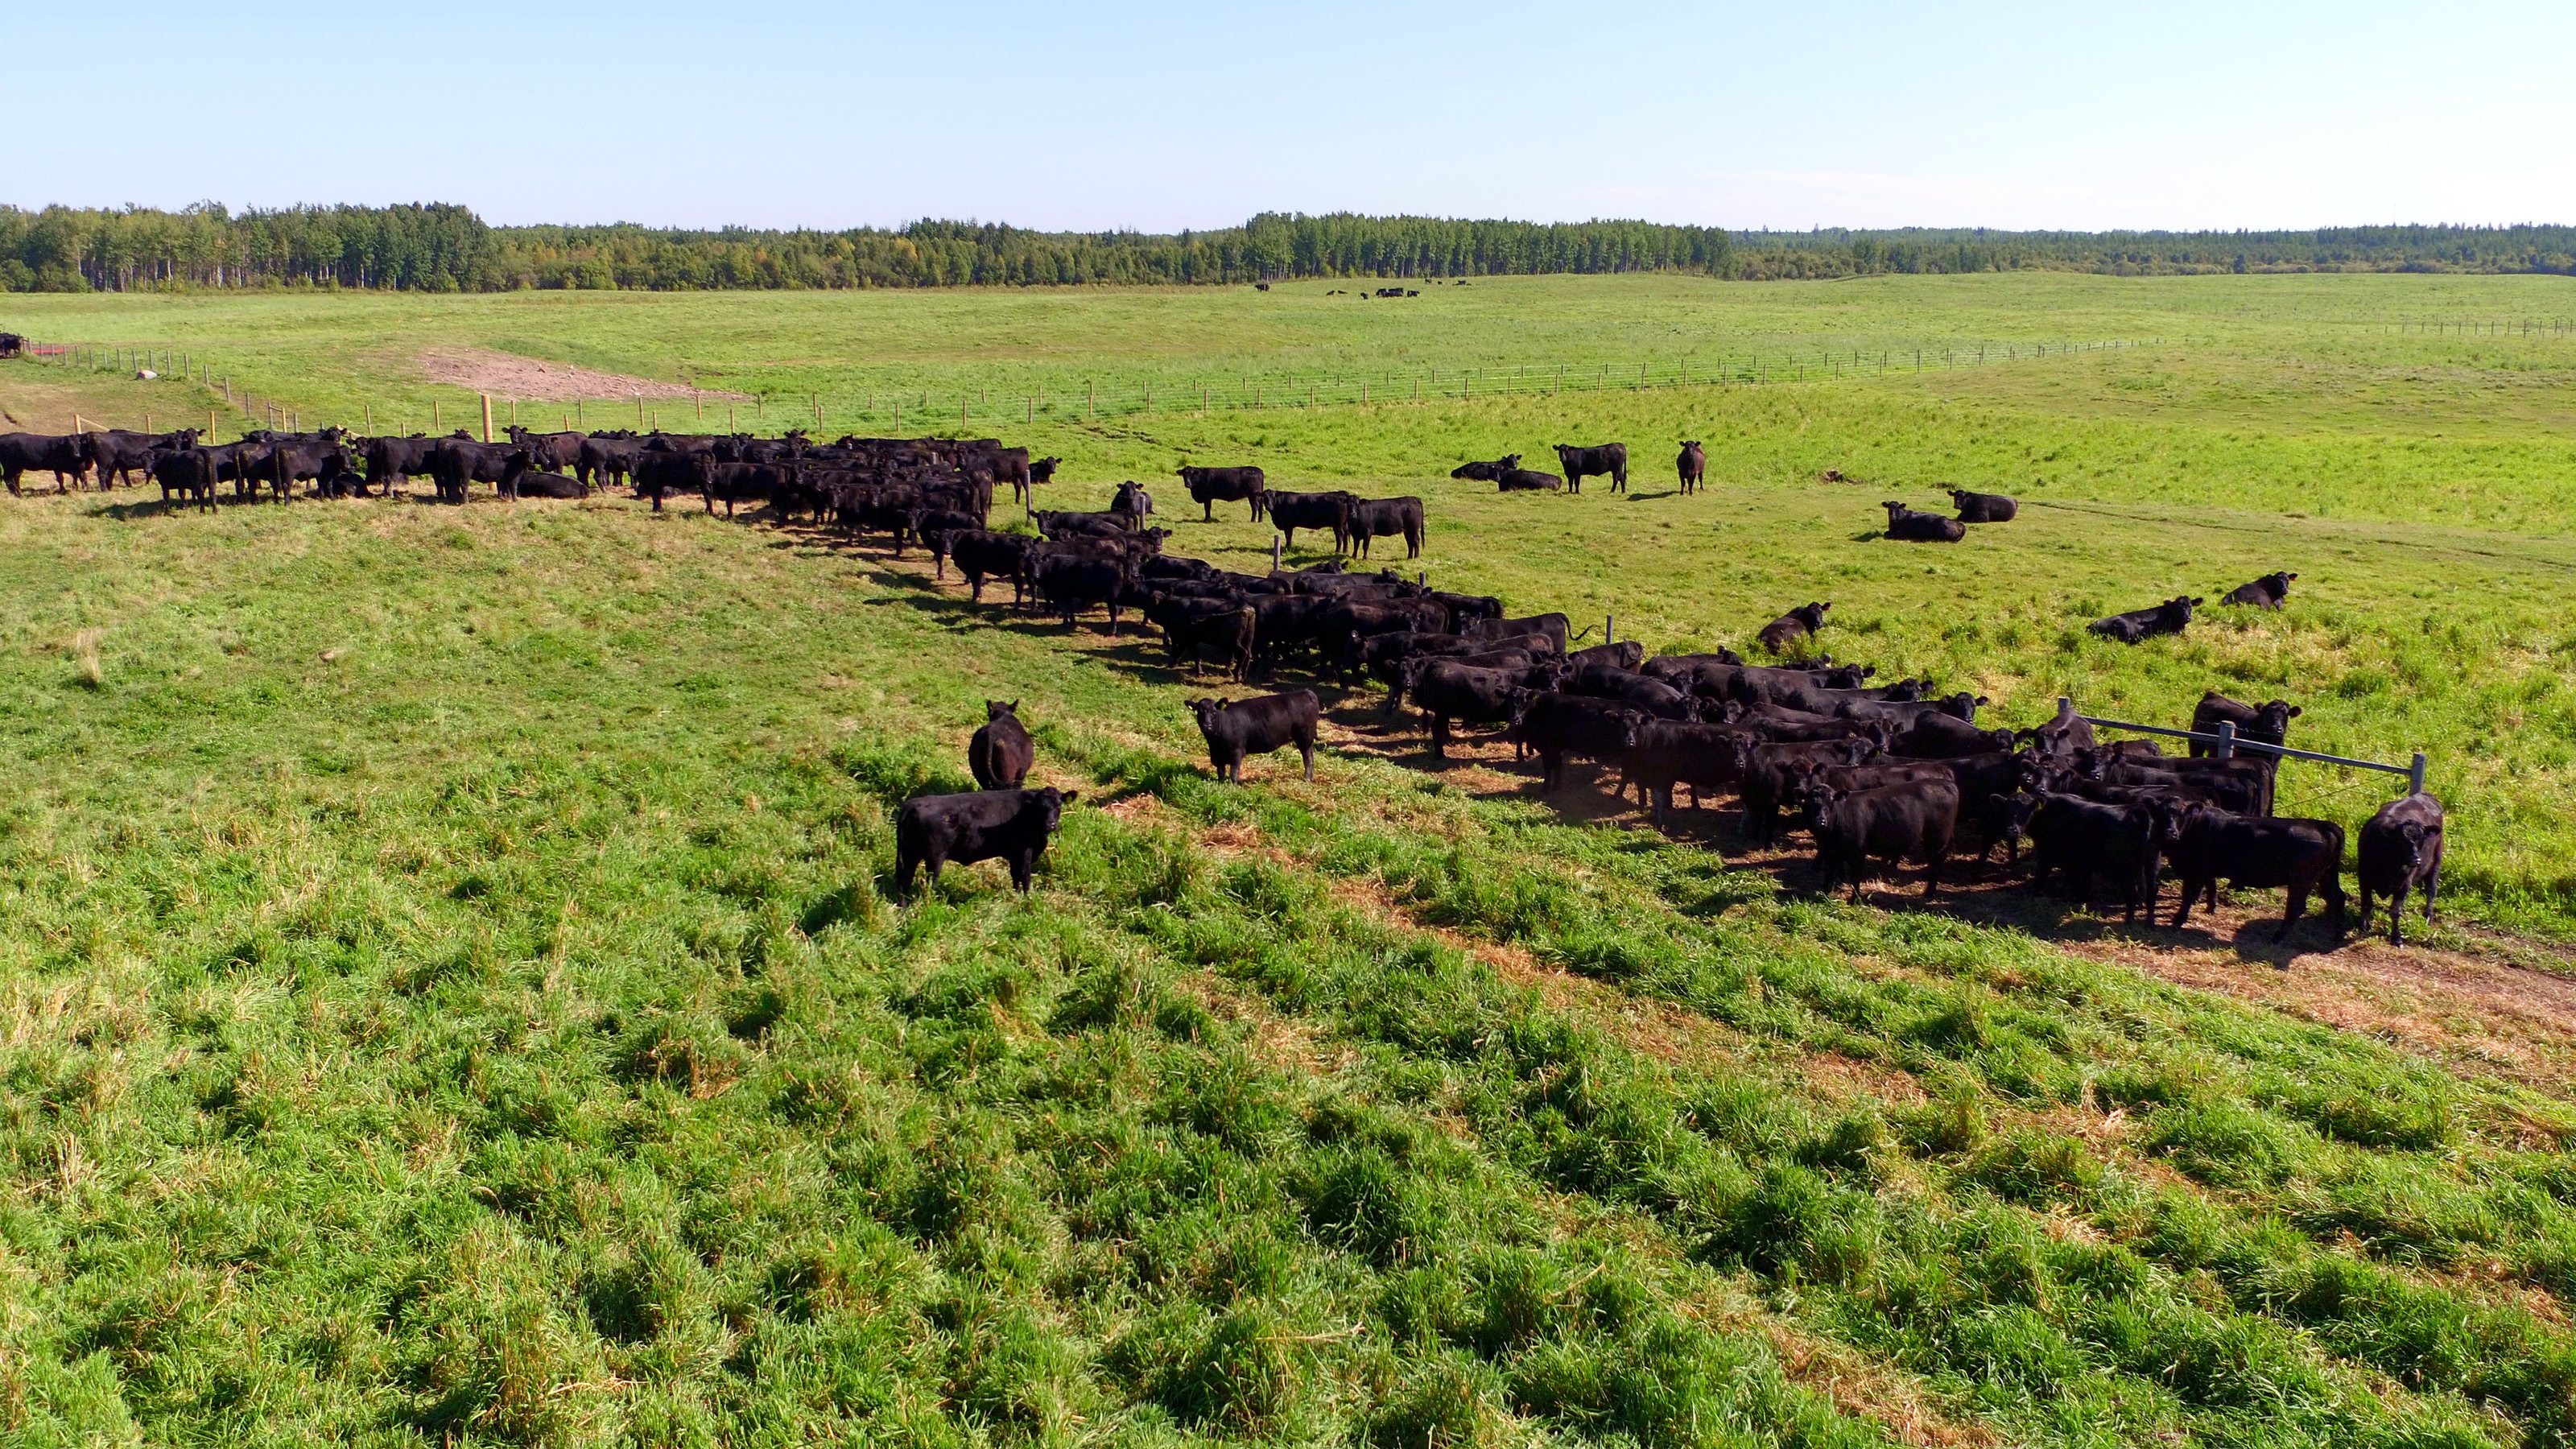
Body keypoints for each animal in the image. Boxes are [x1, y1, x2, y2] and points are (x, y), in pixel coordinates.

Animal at [893, 787, 1075, 896]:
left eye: (1058, 806)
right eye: (1040, 807)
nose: (1051, 824)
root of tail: (913, 804)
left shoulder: (1015, 852)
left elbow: (1015, 874)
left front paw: (1016, 895)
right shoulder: (1025, 850)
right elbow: (1025, 874)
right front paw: (1027, 898)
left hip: (910, 854)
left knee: (905, 881)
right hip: (934, 858)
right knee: (930, 881)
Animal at [1189, 691, 1320, 783]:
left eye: (1214, 712)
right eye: (1199, 712)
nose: (1207, 726)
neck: (1215, 743)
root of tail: (1306, 692)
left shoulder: (1237, 751)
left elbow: (1233, 774)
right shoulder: (1218, 755)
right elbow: (1221, 772)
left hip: (1305, 737)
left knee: (1308, 758)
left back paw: (1307, 778)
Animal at [1805, 778, 1960, 902]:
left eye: (1831, 804)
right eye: (1811, 804)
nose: (1820, 822)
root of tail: (1947, 783)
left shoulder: (1857, 852)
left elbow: (1855, 877)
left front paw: (1854, 900)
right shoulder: (1830, 852)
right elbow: (1829, 874)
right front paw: (1824, 894)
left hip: (1939, 839)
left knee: (1937, 862)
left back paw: (1929, 893)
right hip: (1930, 841)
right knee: (1933, 863)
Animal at [2163, 806, 2347, 942]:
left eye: (2179, 815)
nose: (2170, 832)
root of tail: (2323, 826)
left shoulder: (2195, 870)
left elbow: (2189, 895)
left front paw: (2178, 920)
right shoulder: (2206, 870)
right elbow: (2210, 886)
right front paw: (2210, 909)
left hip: (2302, 881)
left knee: (2297, 907)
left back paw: (2276, 938)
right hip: (2327, 876)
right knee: (2338, 898)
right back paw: (2338, 935)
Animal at [2357, 793, 2444, 946]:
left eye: (2422, 841)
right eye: (2401, 841)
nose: (2416, 860)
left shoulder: (2405, 884)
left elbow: (2396, 911)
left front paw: (2396, 937)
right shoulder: (2364, 877)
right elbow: (2367, 904)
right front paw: (2363, 926)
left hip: (2436, 862)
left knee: (2431, 889)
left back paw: (2428, 915)